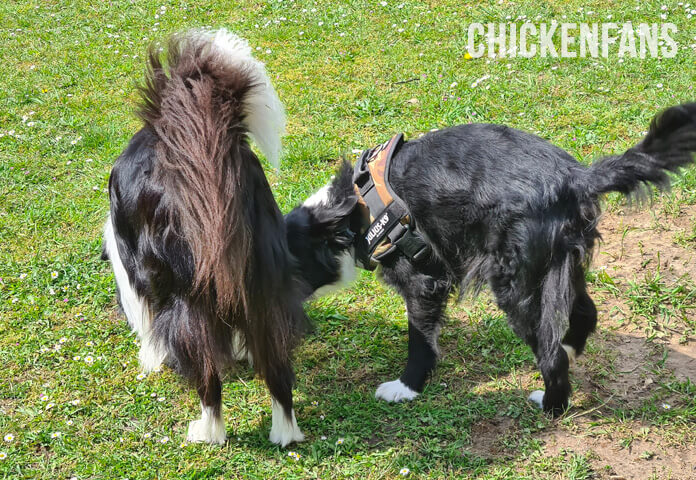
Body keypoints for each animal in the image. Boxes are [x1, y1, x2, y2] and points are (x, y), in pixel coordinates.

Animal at [102, 30, 308, 446]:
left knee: (207, 375)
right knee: (278, 368)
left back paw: (208, 431)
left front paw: (150, 359)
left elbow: (145, 319)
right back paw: (285, 433)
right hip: (264, 281)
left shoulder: (135, 275)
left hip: (190, 297)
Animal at [286, 104, 696, 412]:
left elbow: (420, 339)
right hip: (559, 265)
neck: (355, 209)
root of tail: (576, 177)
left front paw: (405, 387)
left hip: (514, 283)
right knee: (585, 314)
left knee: (551, 353)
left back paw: (550, 403)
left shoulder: (422, 280)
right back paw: (569, 352)